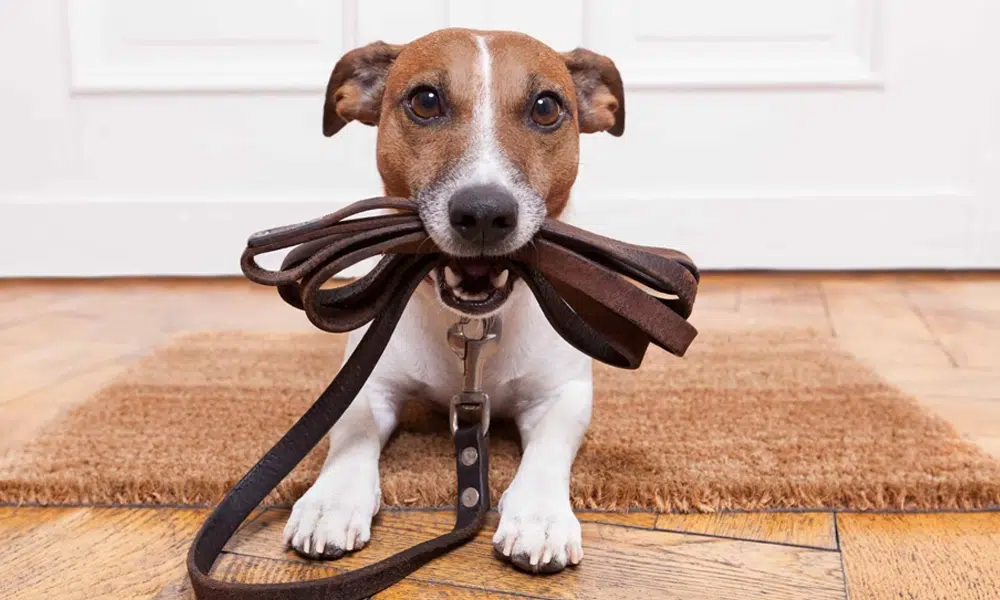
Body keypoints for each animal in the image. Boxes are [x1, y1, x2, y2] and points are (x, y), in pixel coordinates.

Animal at [282, 27, 624, 572]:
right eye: (425, 101)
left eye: (546, 107)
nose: (484, 213)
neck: (472, 326)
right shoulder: (368, 383)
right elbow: (352, 432)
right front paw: (330, 500)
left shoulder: (563, 394)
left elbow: (549, 448)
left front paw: (539, 515)